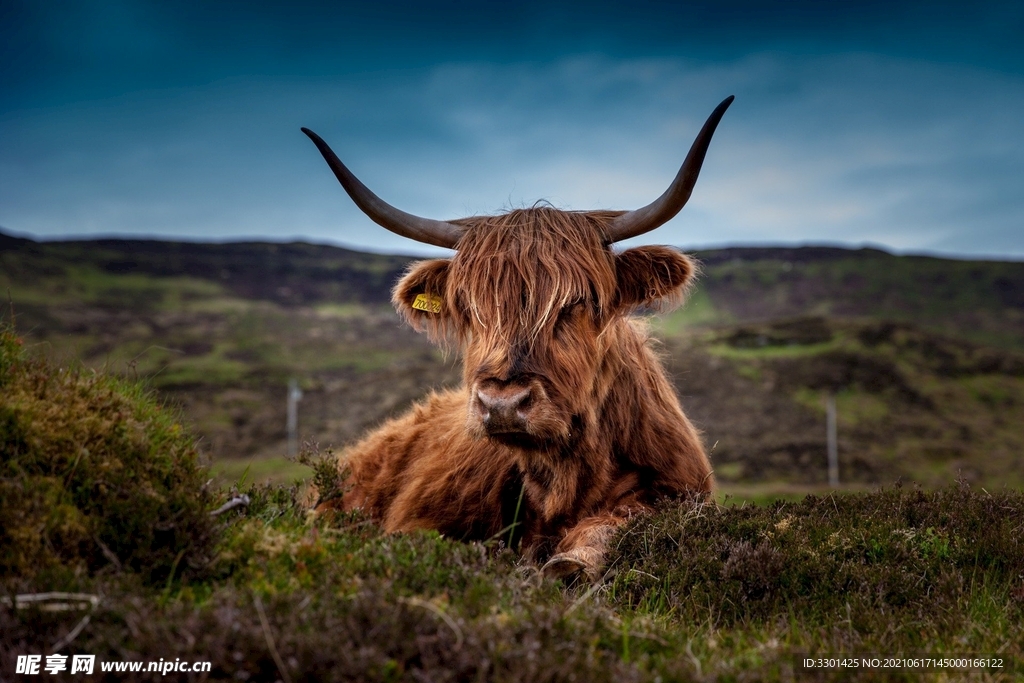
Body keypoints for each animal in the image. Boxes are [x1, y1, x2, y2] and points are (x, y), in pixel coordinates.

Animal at [299, 96, 733, 581]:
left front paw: (571, 561)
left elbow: (618, 522)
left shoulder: (678, 492)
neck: (564, 478)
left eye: (577, 302)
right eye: (469, 307)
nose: (502, 403)